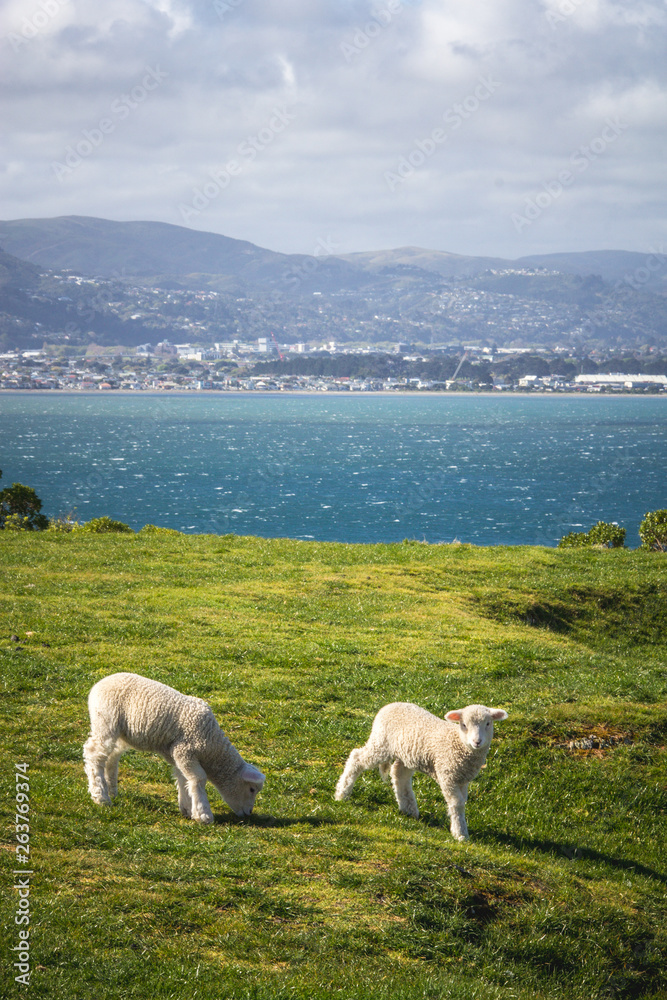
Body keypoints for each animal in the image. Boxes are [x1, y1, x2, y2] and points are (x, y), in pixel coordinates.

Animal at [83, 672, 265, 823]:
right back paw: (101, 796)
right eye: (251, 789)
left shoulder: (178, 753)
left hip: (119, 732)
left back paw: (111, 789)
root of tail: (98, 685)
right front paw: (203, 814)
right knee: (94, 755)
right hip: (106, 721)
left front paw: (187, 809)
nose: (249, 813)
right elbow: (198, 779)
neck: (212, 745)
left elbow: (183, 778)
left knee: (111, 757)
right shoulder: (186, 750)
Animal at [334, 702, 508, 840]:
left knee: (399, 775)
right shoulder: (447, 775)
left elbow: (462, 801)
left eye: (488, 723)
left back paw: (409, 809)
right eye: (463, 724)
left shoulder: (462, 780)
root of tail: (389, 705)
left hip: (405, 754)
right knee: (356, 758)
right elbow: (457, 803)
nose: (477, 742)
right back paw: (342, 793)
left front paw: (460, 828)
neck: (458, 743)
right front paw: (460, 834)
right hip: (381, 744)